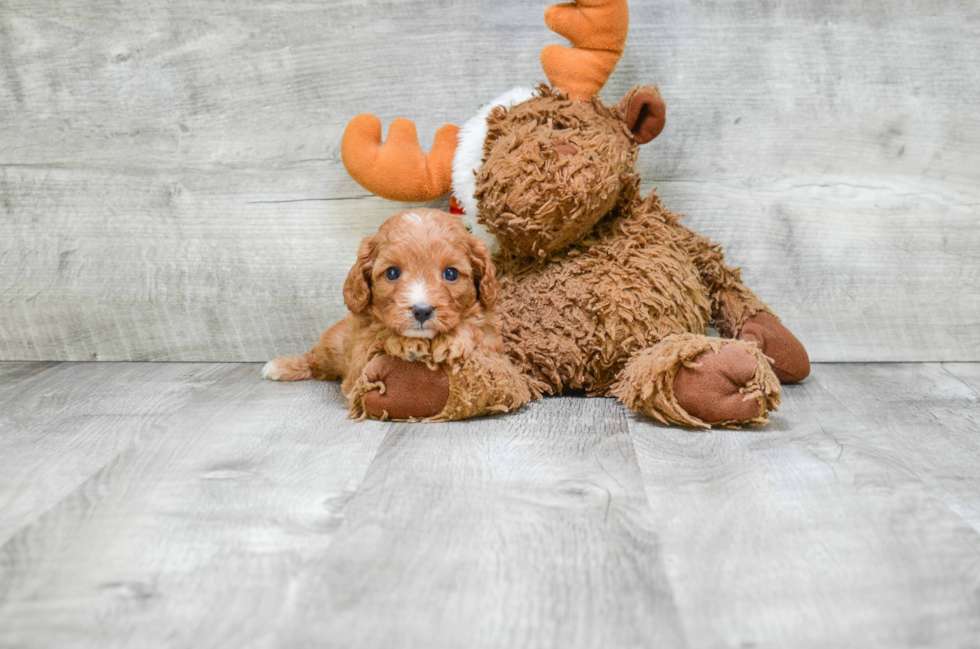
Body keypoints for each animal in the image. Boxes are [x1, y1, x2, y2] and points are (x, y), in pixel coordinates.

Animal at [262, 208, 528, 420]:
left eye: (451, 274)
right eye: (392, 273)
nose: (422, 310)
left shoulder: (493, 344)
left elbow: (476, 329)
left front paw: (452, 339)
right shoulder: (358, 365)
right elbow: (379, 335)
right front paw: (405, 343)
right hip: (331, 346)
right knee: (314, 360)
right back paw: (279, 366)